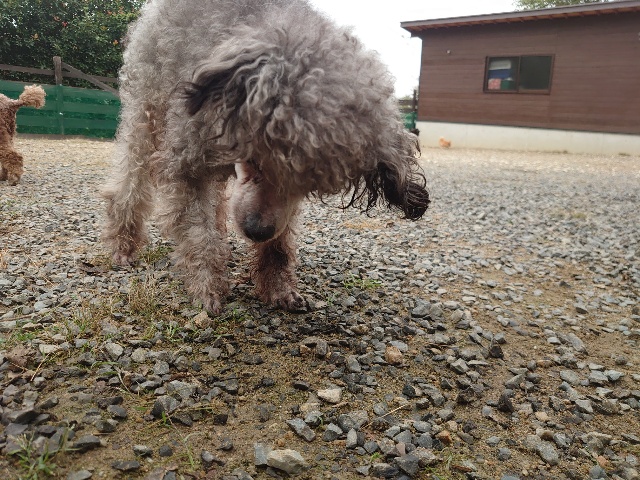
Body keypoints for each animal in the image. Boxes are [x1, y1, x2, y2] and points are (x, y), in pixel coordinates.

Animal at [102, 0, 430, 314]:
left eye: (309, 186)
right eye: (254, 159)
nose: (256, 231)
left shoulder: (281, 210)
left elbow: (280, 244)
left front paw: (278, 287)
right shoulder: (187, 164)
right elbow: (198, 233)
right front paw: (207, 287)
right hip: (145, 110)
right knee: (129, 181)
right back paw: (124, 244)